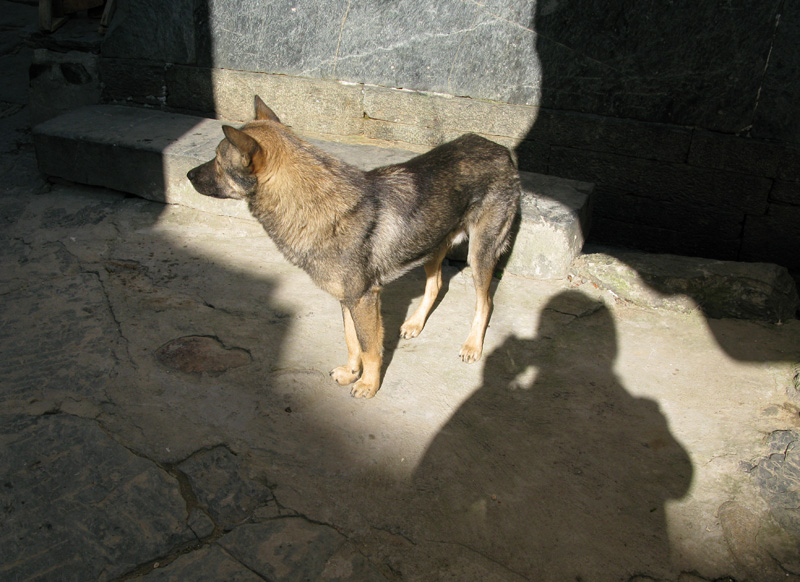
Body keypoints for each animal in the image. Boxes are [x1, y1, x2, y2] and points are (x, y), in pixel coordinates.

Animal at [187, 97, 520, 402]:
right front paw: (351, 372)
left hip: (479, 253)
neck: (314, 205)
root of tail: (500, 150)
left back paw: (472, 344)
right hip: (431, 243)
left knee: (485, 302)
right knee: (436, 283)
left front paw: (369, 384)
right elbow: (351, 340)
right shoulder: (347, 299)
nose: (188, 175)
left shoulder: (363, 299)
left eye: (217, 160)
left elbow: (370, 348)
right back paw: (415, 323)